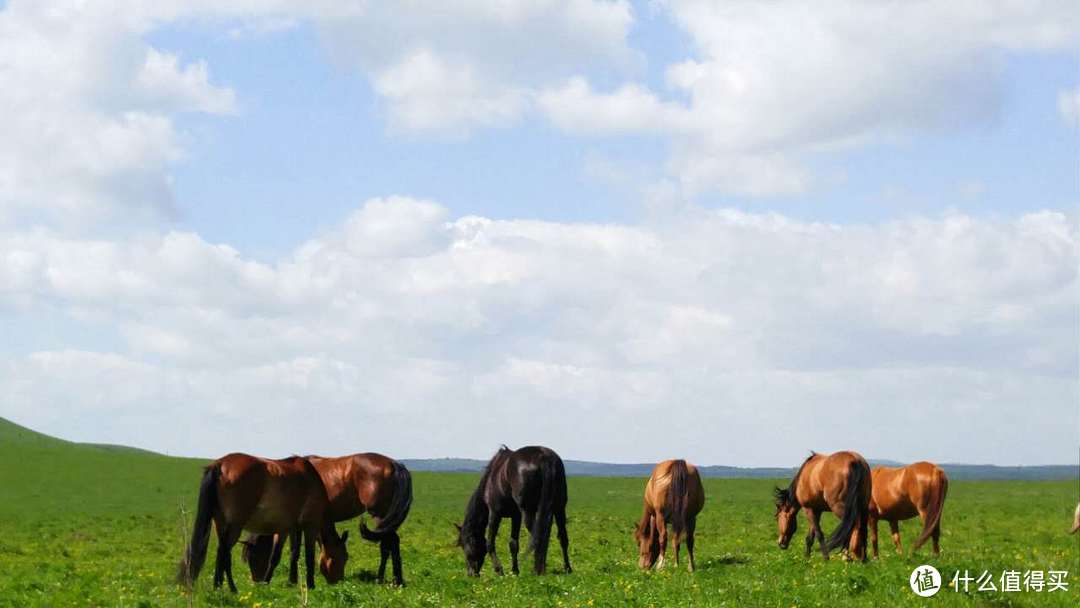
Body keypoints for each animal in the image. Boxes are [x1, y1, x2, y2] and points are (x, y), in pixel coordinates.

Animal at [176, 451, 345, 591]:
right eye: (343, 557)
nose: (338, 581)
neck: (311, 479)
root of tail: (220, 465)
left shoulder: (289, 529)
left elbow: (288, 554)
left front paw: (287, 582)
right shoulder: (310, 525)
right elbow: (308, 556)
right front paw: (310, 585)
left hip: (220, 523)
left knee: (221, 552)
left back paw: (219, 586)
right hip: (235, 525)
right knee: (225, 552)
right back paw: (231, 588)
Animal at [241, 453, 412, 587]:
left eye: (252, 557)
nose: (255, 581)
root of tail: (394, 464)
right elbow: (295, 551)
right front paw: (293, 580)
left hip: (380, 515)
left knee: (388, 544)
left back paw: (385, 579)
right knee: (391, 543)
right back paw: (396, 580)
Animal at [455, 444, 574, 578]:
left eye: (464, 545)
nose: (471, 574)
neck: (491, 480)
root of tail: (544, 457)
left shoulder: (494, 514)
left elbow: (490, 543)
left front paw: (499, 570)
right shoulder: (516, 516)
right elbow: (513, 544)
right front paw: (515, 570)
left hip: (529, 511)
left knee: (538, 536)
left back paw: (538, 569)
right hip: (559, 508)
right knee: (562, 537)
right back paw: (566, 568)